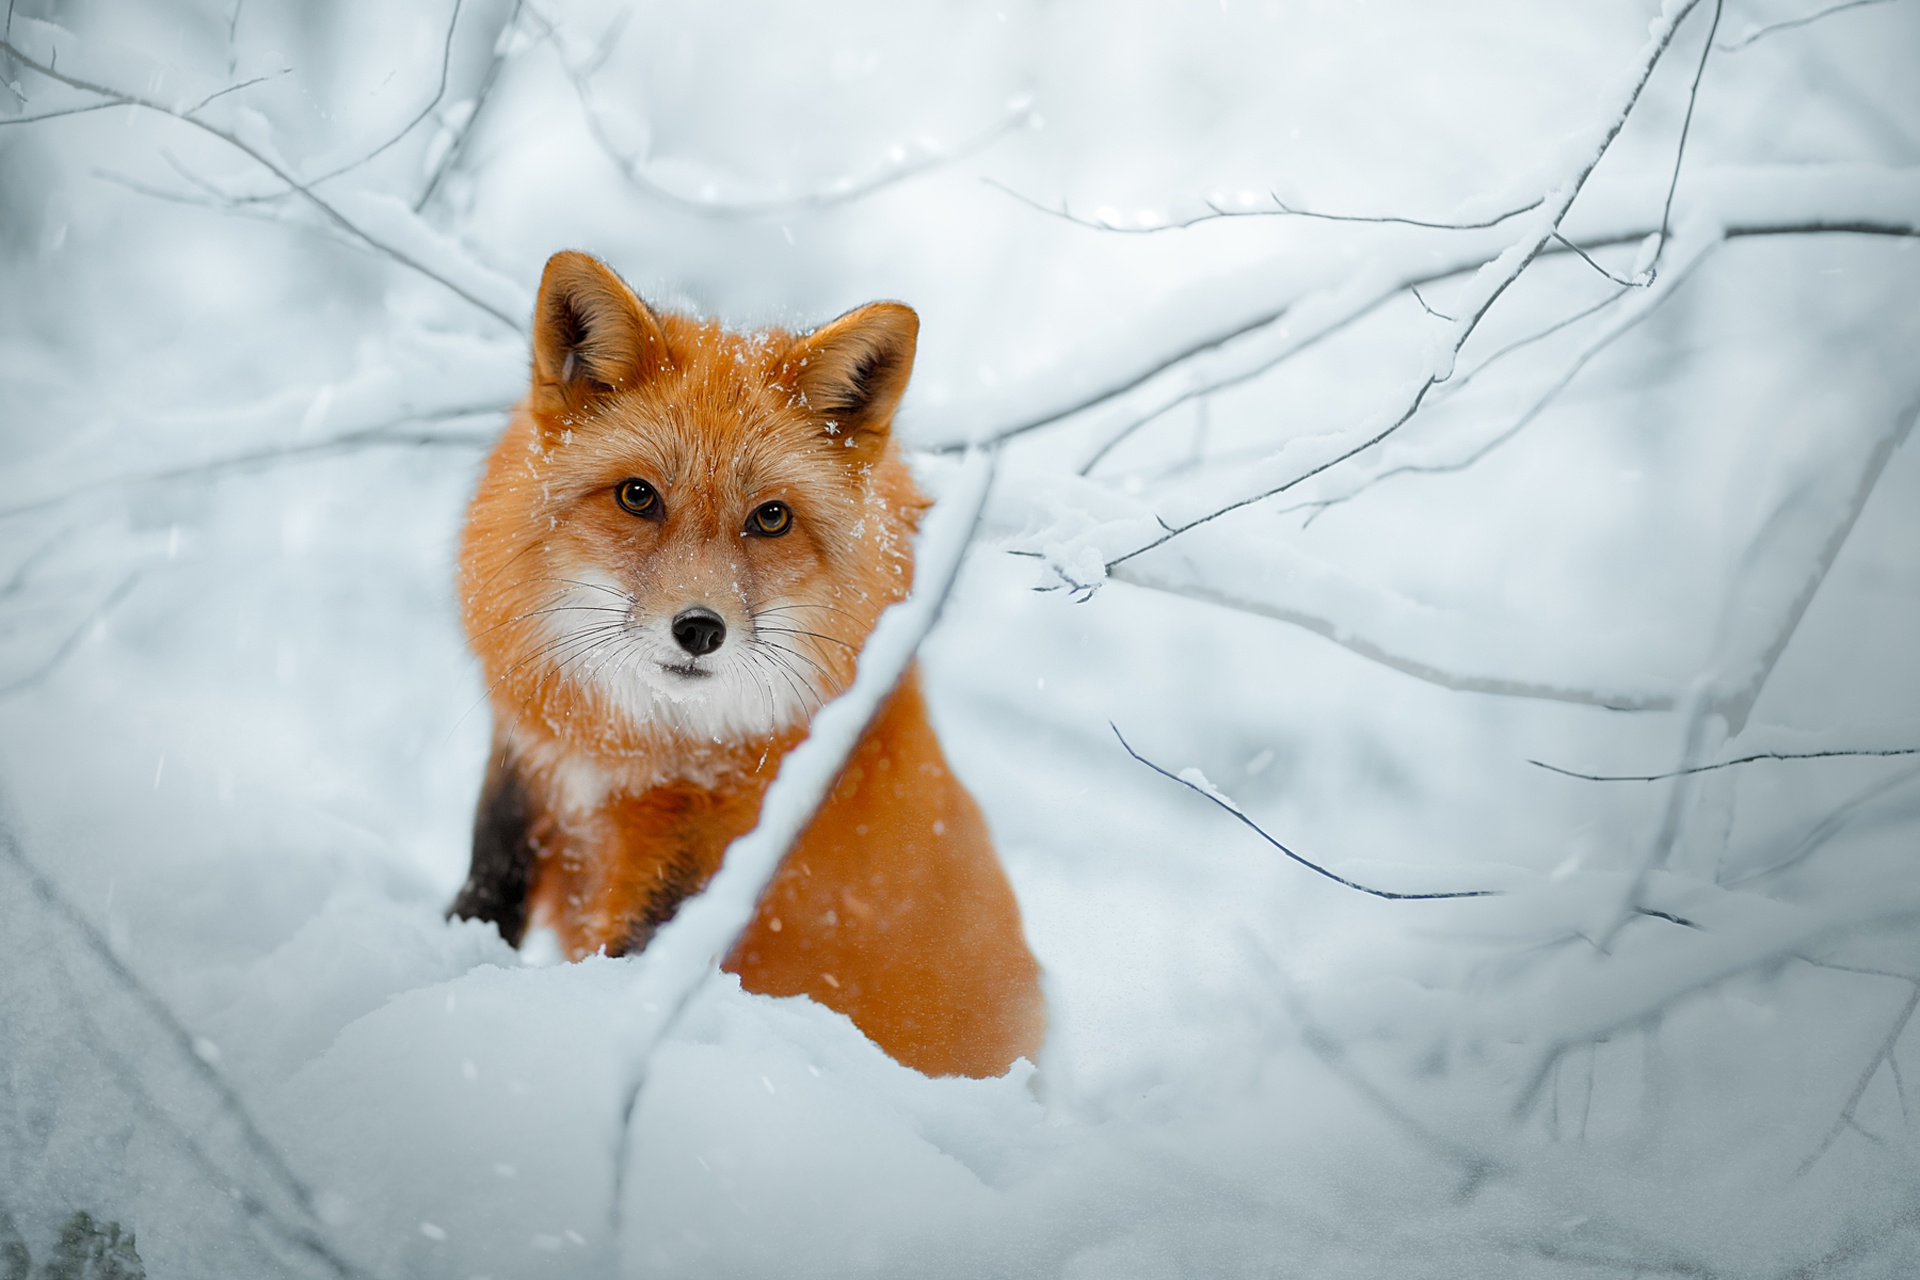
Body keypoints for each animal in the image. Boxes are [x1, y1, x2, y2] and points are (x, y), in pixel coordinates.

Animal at [447, 253, 1044, 1082]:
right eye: (638, 496)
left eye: (771, 517)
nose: (700, 629)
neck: (634, 742)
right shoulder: (528, 758)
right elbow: (489, 874)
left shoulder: (718, 835)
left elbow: (640, 957)